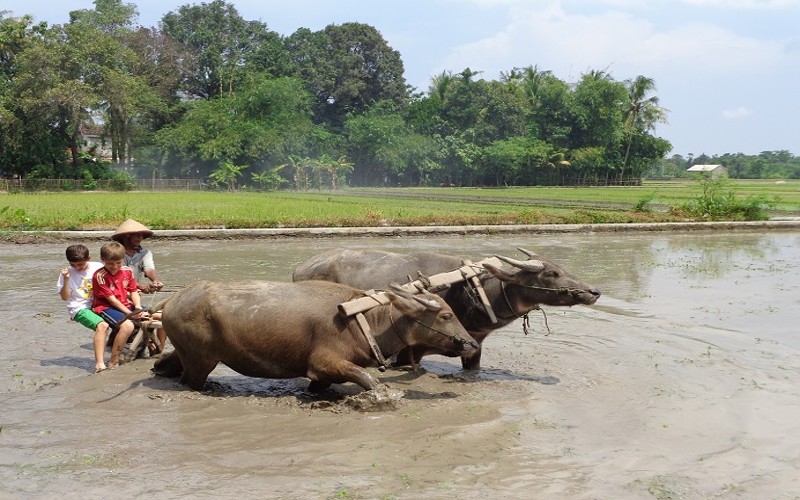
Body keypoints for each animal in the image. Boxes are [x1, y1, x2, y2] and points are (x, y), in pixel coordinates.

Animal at [152, 282, 476, 390]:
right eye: (446, 316)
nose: (472, 344)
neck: (361, 320)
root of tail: (173, 299)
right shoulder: (323, 363)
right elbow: (368, 378)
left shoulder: (321, 377)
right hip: (200, 362)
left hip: (188, 355)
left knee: (164, 366)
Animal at [294, 249, 600, 372]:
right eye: (552, 273)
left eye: (561, 268)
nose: (593, 291)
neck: (472, 290)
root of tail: (301, 268)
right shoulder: (409, 351)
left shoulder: (475, 347)